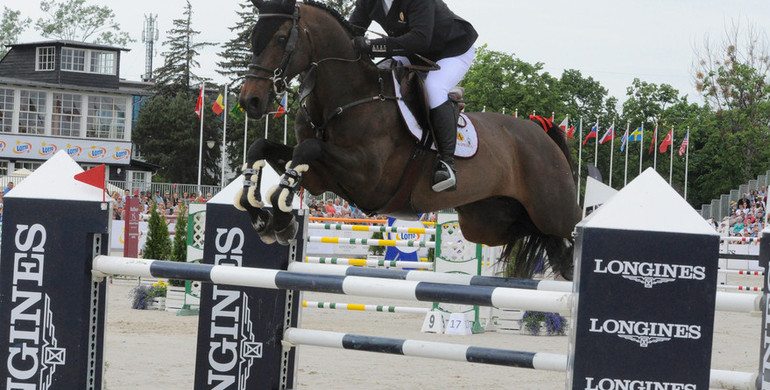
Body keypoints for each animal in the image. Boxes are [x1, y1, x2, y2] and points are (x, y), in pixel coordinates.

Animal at [237, 0, 580, 280]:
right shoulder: (323, 178)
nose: (250, 101)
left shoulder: (367, 180)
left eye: (281, 39)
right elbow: (265, 149)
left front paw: (279, 215)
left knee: (567, 240)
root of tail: (540, 131)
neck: (347, 97)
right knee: (541, 241)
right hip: (487, 222)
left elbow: (308, 149)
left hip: (553, 211)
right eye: (253, 38)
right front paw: (264, 216)